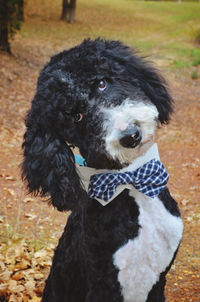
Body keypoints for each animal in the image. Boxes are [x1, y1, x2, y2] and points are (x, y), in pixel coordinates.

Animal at [21, 39, 183, 300]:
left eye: (101, 83)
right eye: (76, 116)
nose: (131, 135)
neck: (130, 183)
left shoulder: (160, 279)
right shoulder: (104, 285)